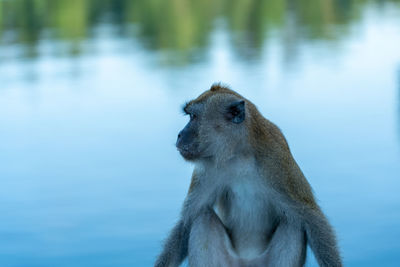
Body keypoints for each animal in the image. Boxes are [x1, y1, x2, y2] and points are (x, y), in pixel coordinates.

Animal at [155, 84, 342, 267]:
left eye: (193, 117)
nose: (180, 134)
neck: (240, 156)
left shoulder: (278, 163)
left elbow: (311, 217)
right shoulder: (208, 171)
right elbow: (187, 221)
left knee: (293, 223)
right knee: (202, 217)